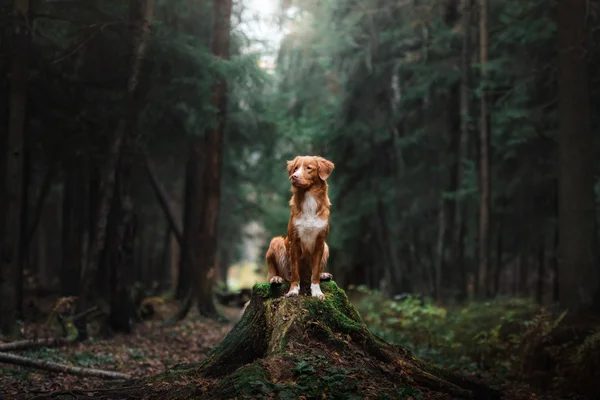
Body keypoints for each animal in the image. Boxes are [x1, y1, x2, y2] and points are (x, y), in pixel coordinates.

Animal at [266, 156, 336, 300]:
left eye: (308, 168)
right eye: (295, 168)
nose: (294, 176)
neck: (309, 199)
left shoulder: (320, 242)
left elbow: (315, 272)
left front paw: (317, 292)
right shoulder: (294, 242)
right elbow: (295, 272)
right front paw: (293, 291)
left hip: (326, 246)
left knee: (313, 273)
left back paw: (324, 275)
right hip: (276, 241)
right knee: (276, 272)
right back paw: (276, 278)